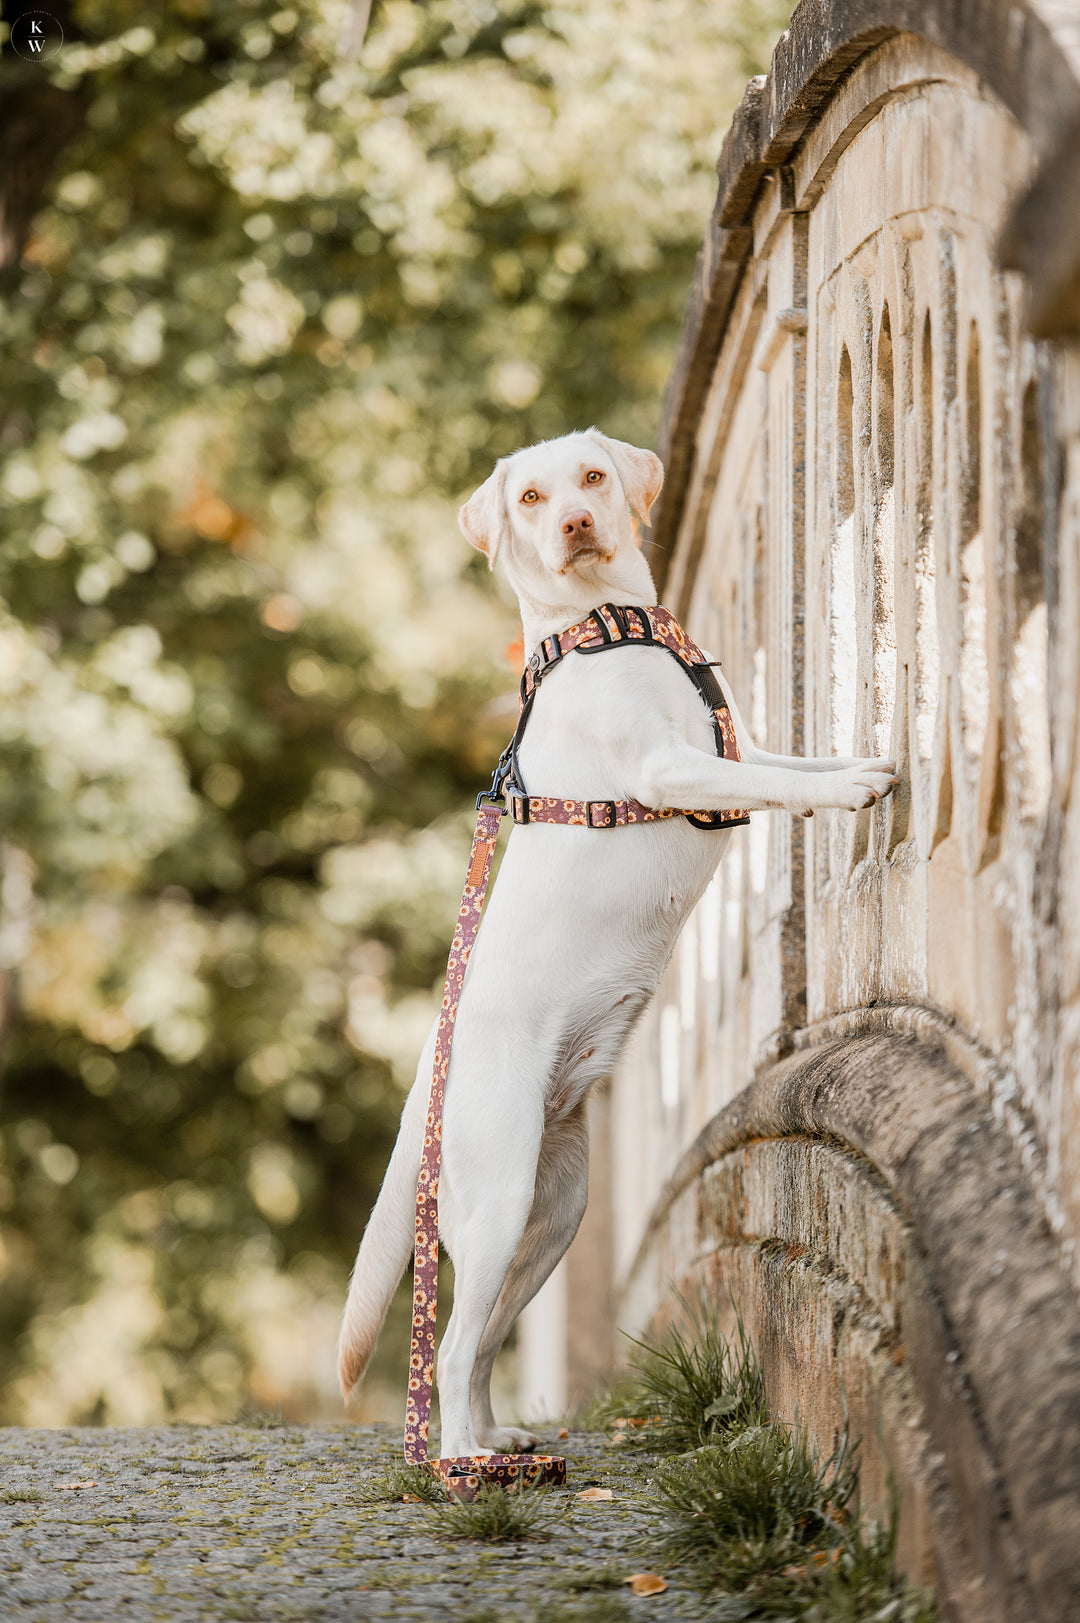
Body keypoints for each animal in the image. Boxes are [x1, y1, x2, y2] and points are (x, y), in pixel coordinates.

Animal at [334, 425, 889, 1454]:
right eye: (529, 498)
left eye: (591, 478)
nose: (575, 523)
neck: (606, 626)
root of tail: (426, 1077)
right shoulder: (678, 768)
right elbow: (784, 786)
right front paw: (851, 791)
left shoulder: (731, 744)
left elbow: (797, 760)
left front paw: (860, 760)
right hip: (498, 1200)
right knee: (451, 1342)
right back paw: (459, 1461)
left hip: (552, 1216)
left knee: (480, 1340)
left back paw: (498, 1444)